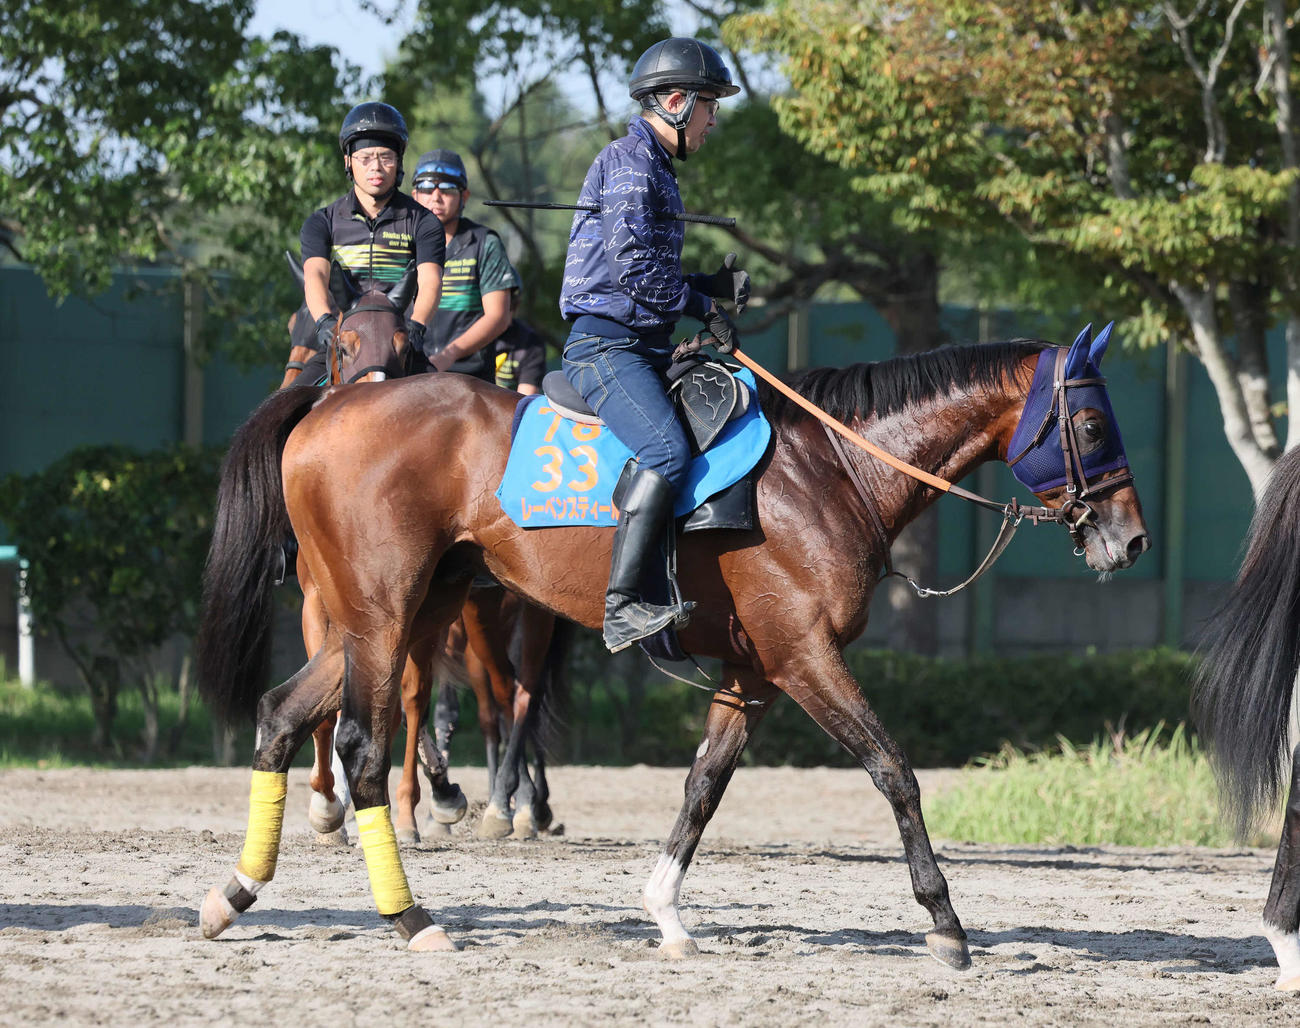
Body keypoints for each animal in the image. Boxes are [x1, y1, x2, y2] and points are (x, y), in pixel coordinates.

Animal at [196, 325, 1149, 959]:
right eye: (1093, 427)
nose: (1132, 541)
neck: (831, 470)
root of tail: (332, 399)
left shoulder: (754, 674)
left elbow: (703, 786)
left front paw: (664, 910)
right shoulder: (805, 659)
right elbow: (893, 769)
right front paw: (945, 921)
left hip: (397, 618)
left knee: (282, 714)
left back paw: (235, 893)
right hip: (384, 620)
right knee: (359, 746)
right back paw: (410, 917)